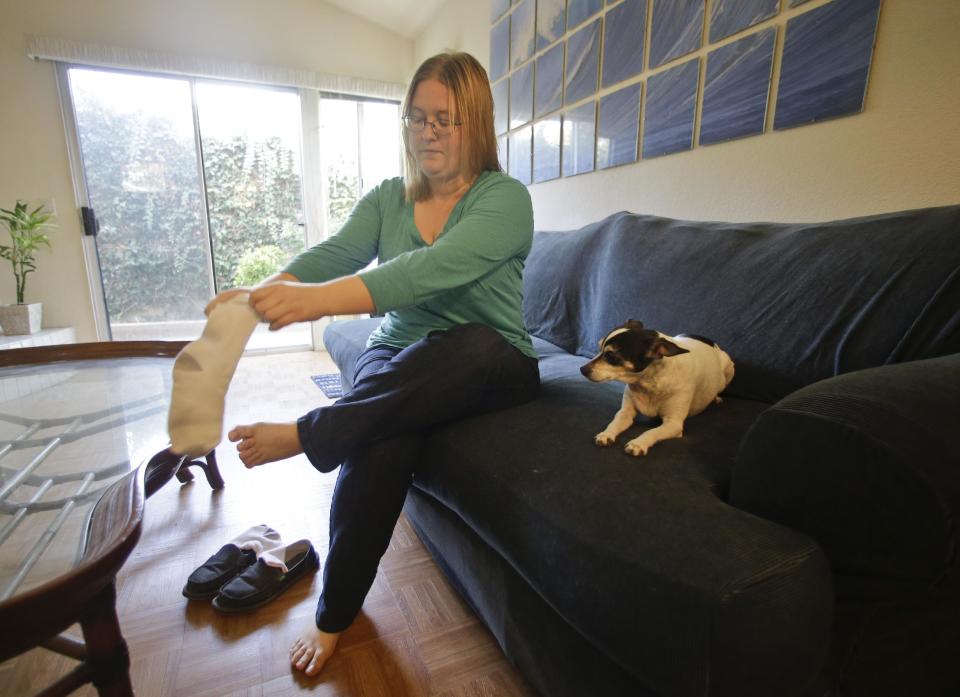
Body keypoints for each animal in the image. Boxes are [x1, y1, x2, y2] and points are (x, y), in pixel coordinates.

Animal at [576, 320, 736, 456]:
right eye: (599, 349)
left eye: (611, 355)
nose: (582, 369)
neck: (648, 382)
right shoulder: (625, 412)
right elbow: (615, 422)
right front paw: (606, 433)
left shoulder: (673, 424)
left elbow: (652, 432)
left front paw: (638, 443)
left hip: (729, 368)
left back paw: (716, 398)